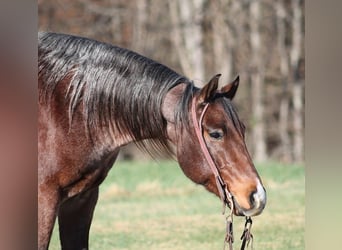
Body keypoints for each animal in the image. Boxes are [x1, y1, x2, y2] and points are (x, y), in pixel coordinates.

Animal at [38, 32, 268, 249]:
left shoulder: (82, 200)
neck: (68, 111)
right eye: (215, 134)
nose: (257, 196)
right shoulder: (45, 200)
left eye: (243, 130)